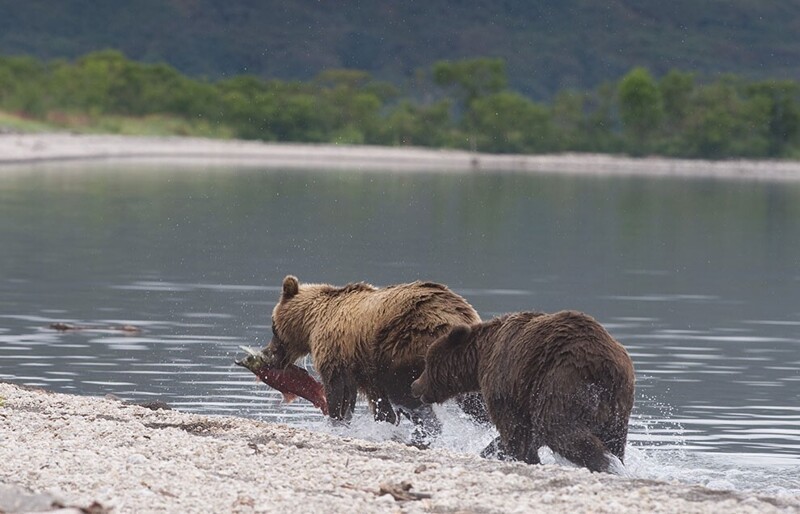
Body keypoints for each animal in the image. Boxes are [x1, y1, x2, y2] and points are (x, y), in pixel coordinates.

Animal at [260, 274, 482, 430]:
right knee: (475, 401)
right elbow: (378, 403)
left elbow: (337, 392)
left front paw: (336, 421)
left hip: (405, 348)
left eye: (273, 326)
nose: (267, 353)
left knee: (405, 394)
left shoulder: (337, 353)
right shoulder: (366, 371)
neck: (312, 323)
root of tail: (454, 318)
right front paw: (383, 421)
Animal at [412, 308, 632, 472]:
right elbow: (527, 432)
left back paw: (607, 463)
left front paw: (521, 456)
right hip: (616, 403)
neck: (480, 356)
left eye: (427, 363)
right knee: (614, 438)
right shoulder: (526, 394)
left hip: (563, 378)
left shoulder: (505, 381)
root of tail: (605, 365)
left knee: (557, 427)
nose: (415, 385)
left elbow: (515, 429)